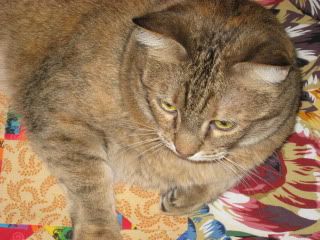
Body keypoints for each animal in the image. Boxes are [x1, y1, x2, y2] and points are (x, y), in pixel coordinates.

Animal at [0, 0, 302, 239]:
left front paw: (189, 194)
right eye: (168, 106)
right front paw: (100, 231)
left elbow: (230, 170)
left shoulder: (266, 142)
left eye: (223, 124)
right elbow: (91, 181)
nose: (184, 150)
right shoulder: (56, 113)